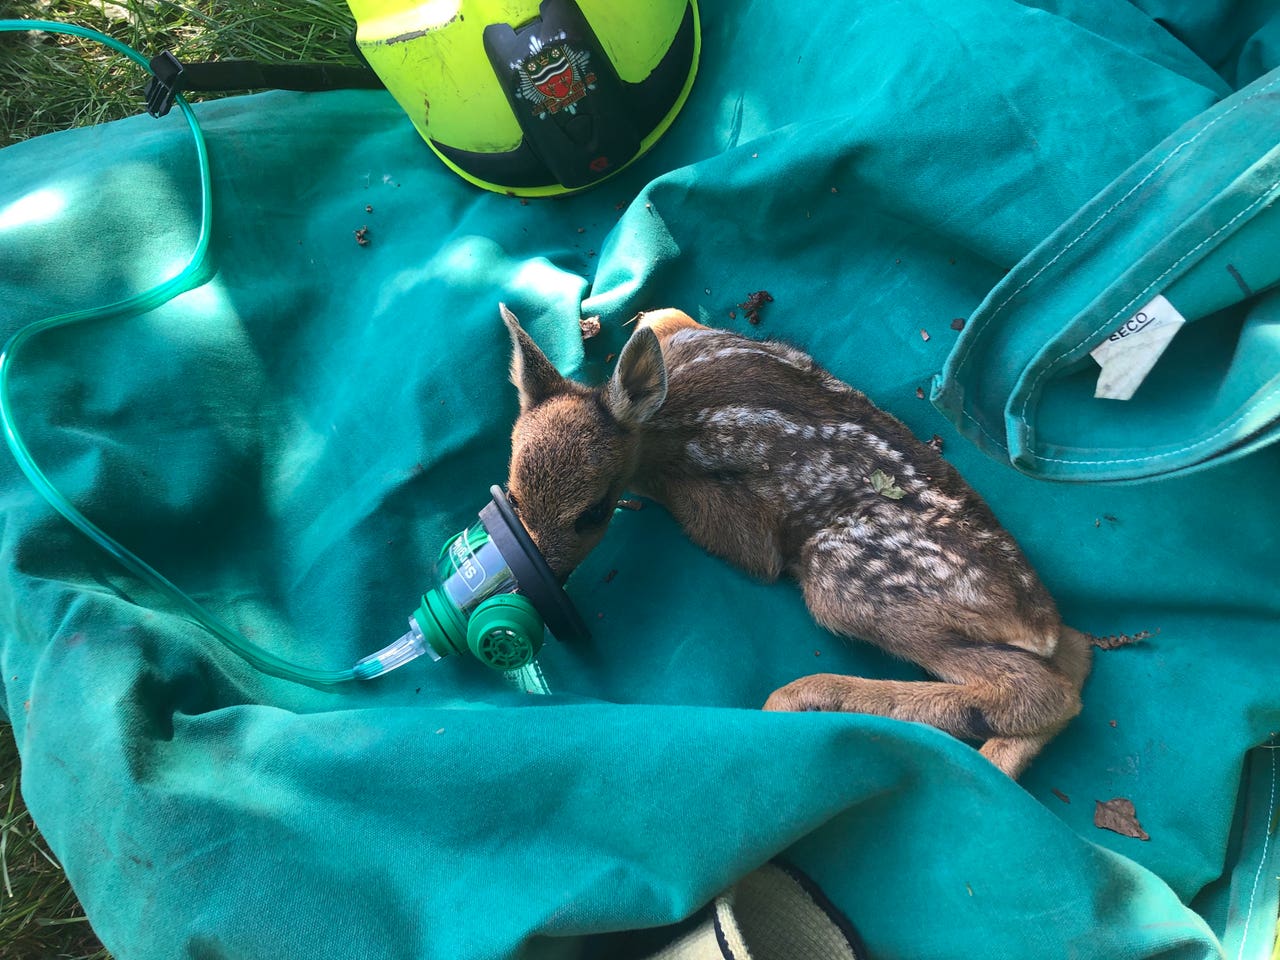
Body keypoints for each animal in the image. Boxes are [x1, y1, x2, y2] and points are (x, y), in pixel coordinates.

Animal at [499, 304, 1092, 779]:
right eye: (513, 495)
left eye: (593, 513)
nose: (541, 578)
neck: (662, 420)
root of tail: (1035, 619)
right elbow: (662, 312)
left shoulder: (738, 527)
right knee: (1078, 656)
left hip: (845, 579)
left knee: (1041, 691)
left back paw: (808, 697)